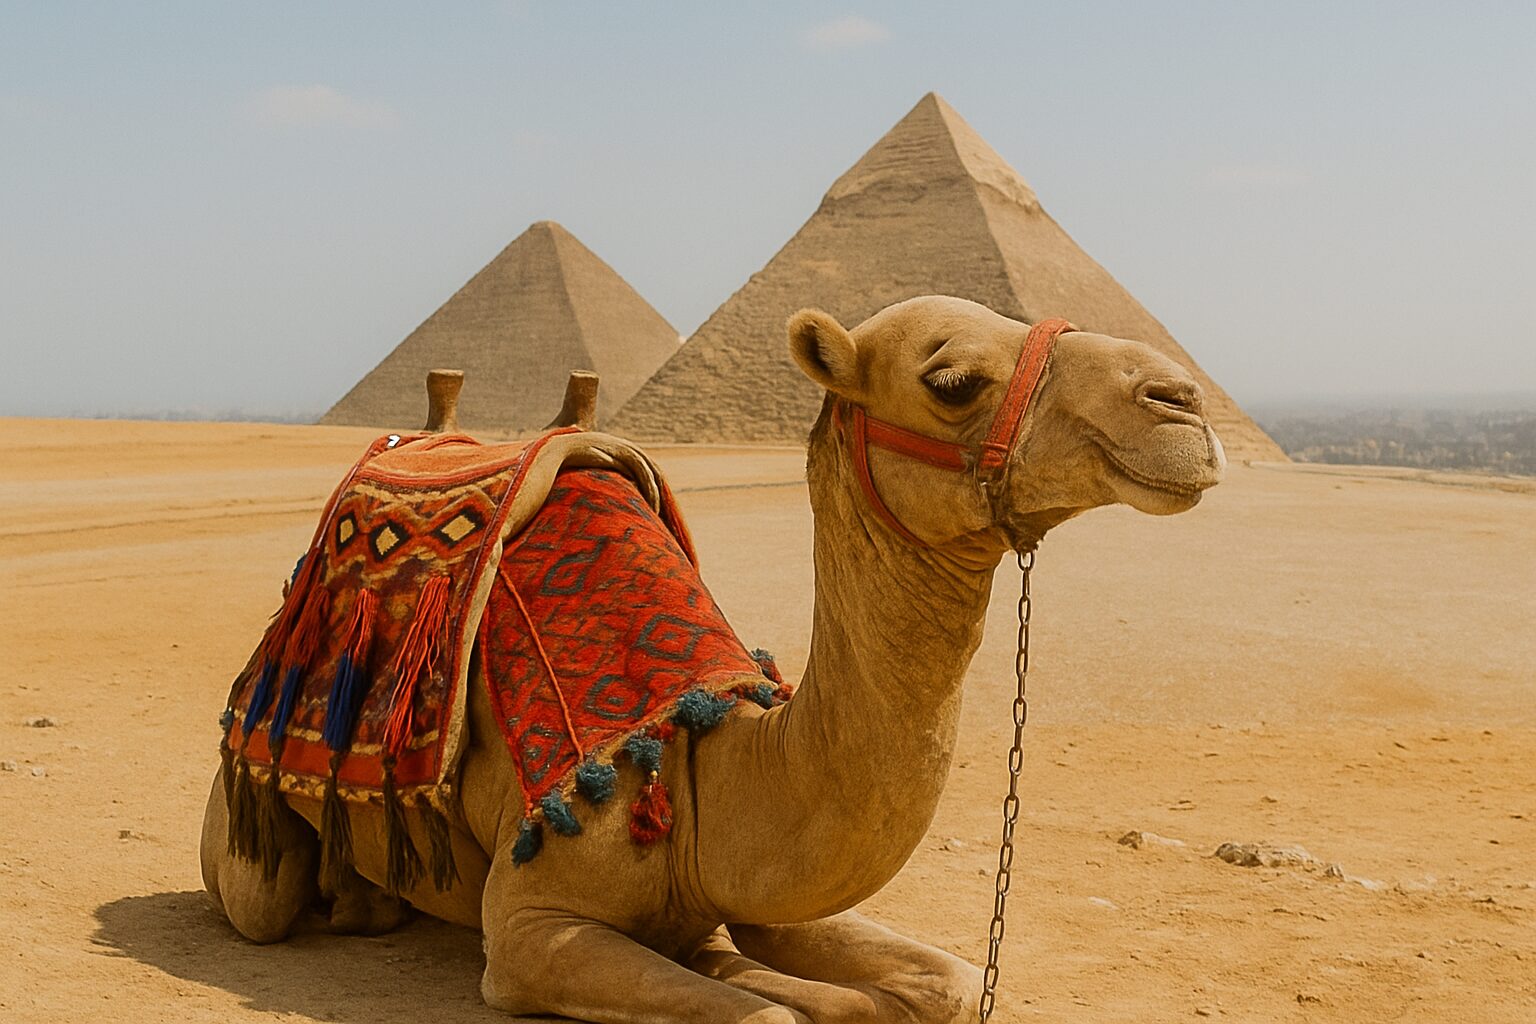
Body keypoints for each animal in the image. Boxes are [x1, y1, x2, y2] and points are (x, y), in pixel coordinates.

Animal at [201, 294, 1225, 1023]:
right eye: (954, 381)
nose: (1182, 404)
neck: (698, 762)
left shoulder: (759, 893)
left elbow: (945, 982)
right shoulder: (530, 930)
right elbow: (765, 1018)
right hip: (248, 851)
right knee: (262, 897)